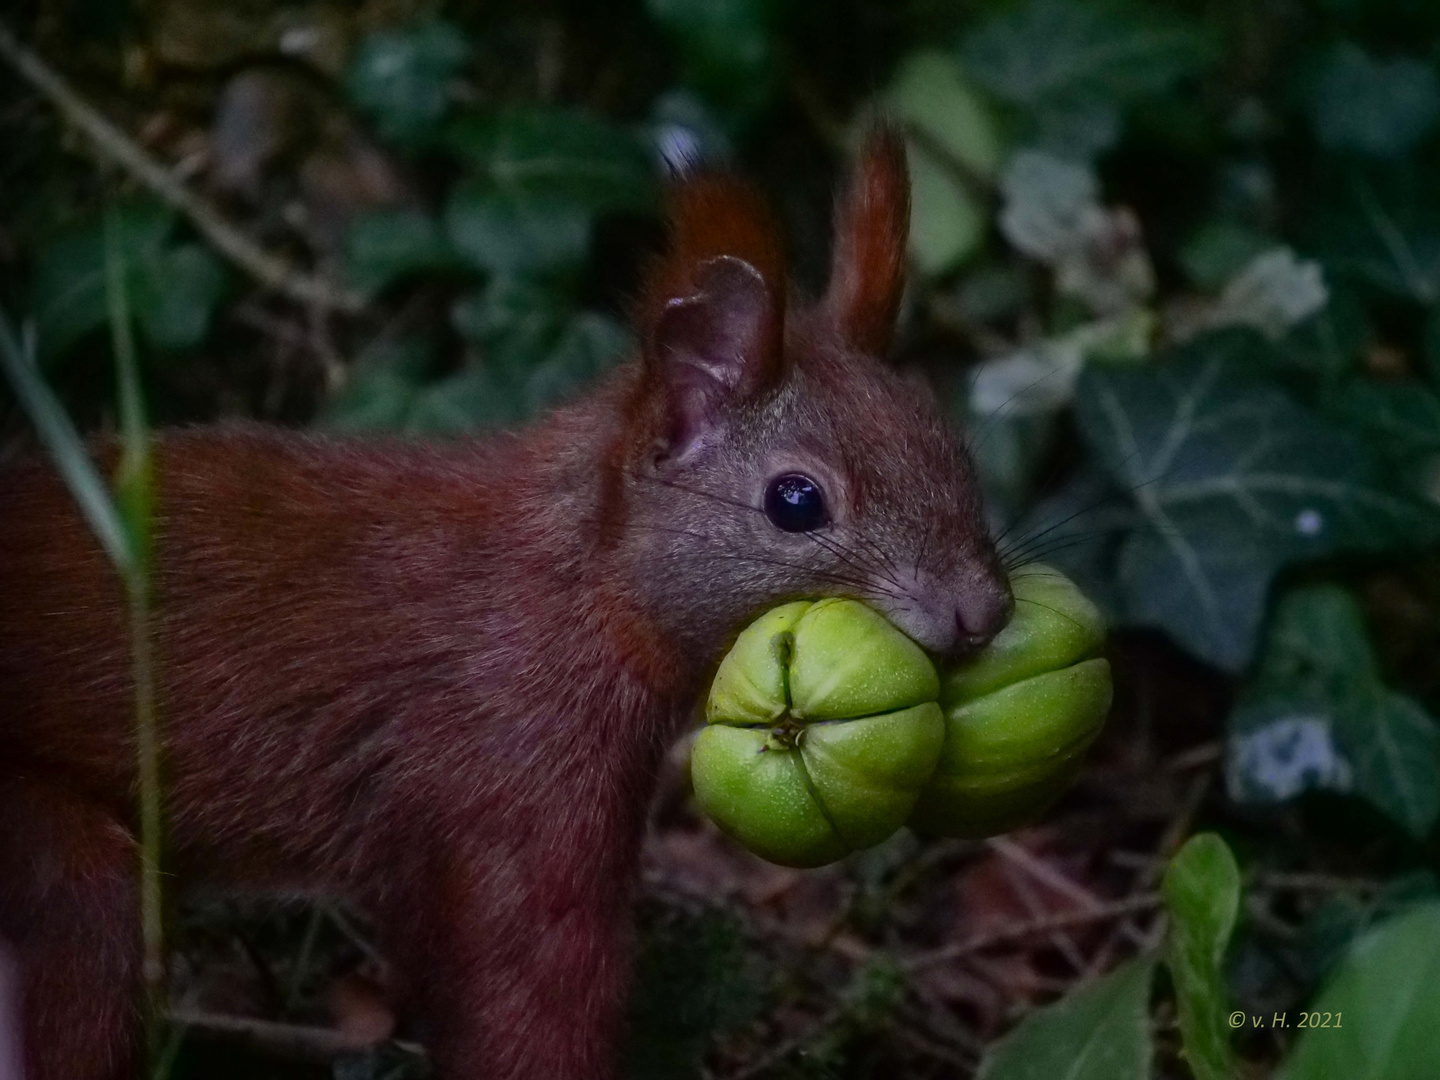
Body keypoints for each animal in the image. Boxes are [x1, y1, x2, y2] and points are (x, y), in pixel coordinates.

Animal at [0, 133, 1013, 1080]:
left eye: (952, 446)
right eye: (796, 502)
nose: (983, 611)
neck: (570, 586)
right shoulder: (514, 787)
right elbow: (531, 1002)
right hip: (63, 870)